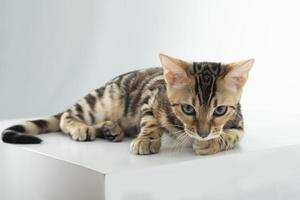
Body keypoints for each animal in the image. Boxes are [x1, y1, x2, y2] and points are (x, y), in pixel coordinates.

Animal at [1, 55, 253, 156]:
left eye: (220, 110)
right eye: (188, 109)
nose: (202, 134)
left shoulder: (239, 123)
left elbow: (232, 136)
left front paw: (212, 142)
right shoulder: (152, 94)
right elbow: (149, 120)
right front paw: (147, 140)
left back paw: (110, 129)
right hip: (102, 99)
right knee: (66, 117)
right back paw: (84, 127)